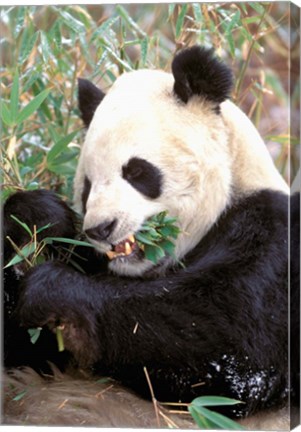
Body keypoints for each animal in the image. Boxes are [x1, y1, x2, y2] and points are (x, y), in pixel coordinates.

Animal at [2, 46, 298, 426]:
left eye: (137, 171)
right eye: (87, 186)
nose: (100, 228)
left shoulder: (275, 244)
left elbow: (230, 347)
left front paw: (51, 290)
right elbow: (22, 346)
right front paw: (36, 216)